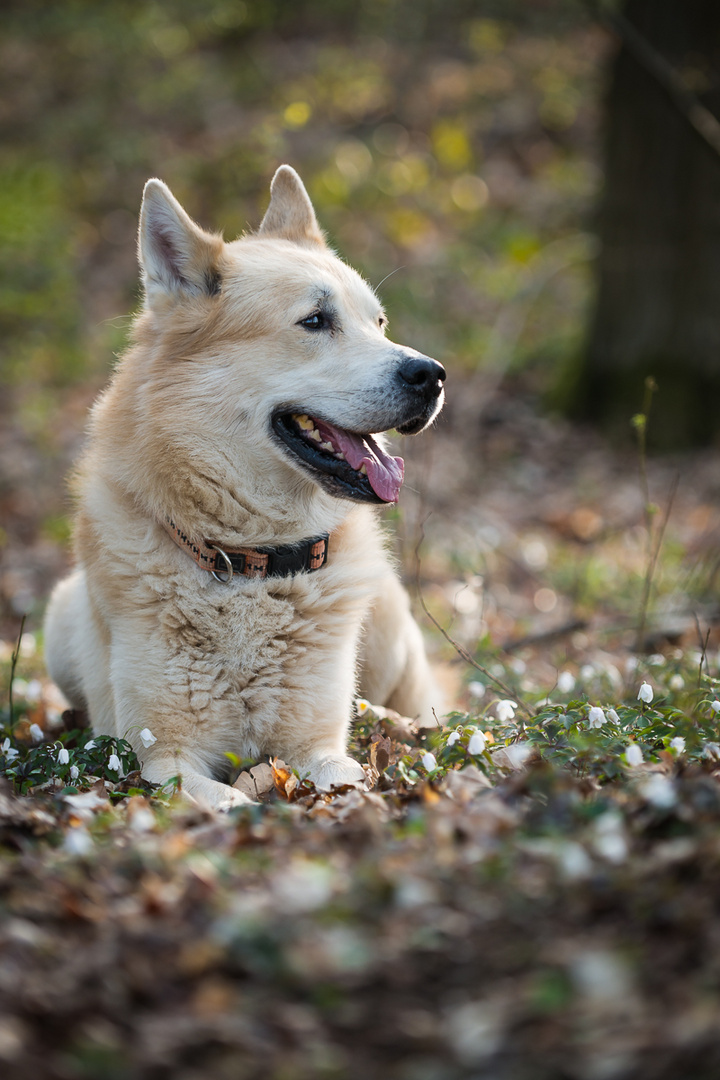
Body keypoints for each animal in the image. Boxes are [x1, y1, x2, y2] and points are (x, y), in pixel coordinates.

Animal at [45, 166, 444, 812]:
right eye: (315, 321)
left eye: (379, 324)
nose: (431, 375)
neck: (254, 561)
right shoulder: (161, 759)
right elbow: (231, 804)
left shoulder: (319, 746)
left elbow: (350, 779)